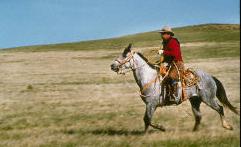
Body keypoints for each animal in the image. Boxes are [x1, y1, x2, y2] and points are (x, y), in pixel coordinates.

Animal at [110, 43, 238, 132]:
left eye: (125, 55)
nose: (112, 66)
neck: (148, 77)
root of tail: (211, 77)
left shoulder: (151, 104)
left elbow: (147, 119)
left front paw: (160, 128)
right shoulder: (150, 105)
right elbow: (147, 120)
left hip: (208, 99)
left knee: (220, 108)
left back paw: (227, 126)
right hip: (195, 100)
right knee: (198, 116)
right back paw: (194, 131)